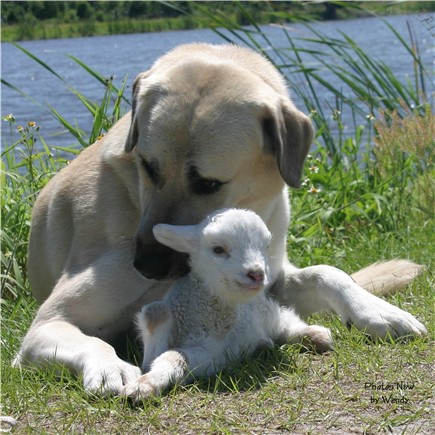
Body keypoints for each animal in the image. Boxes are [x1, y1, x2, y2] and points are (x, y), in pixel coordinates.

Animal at [123, 208, 334, 402]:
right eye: (218, 249)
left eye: (265, 247)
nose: (257, 274)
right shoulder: (211, 352)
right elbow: (166, 342)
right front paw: (144, 384)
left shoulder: (217, 347)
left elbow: (172, 355)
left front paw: (144, 386)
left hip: (265, 312)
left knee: (286, 324)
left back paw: (315, 335)